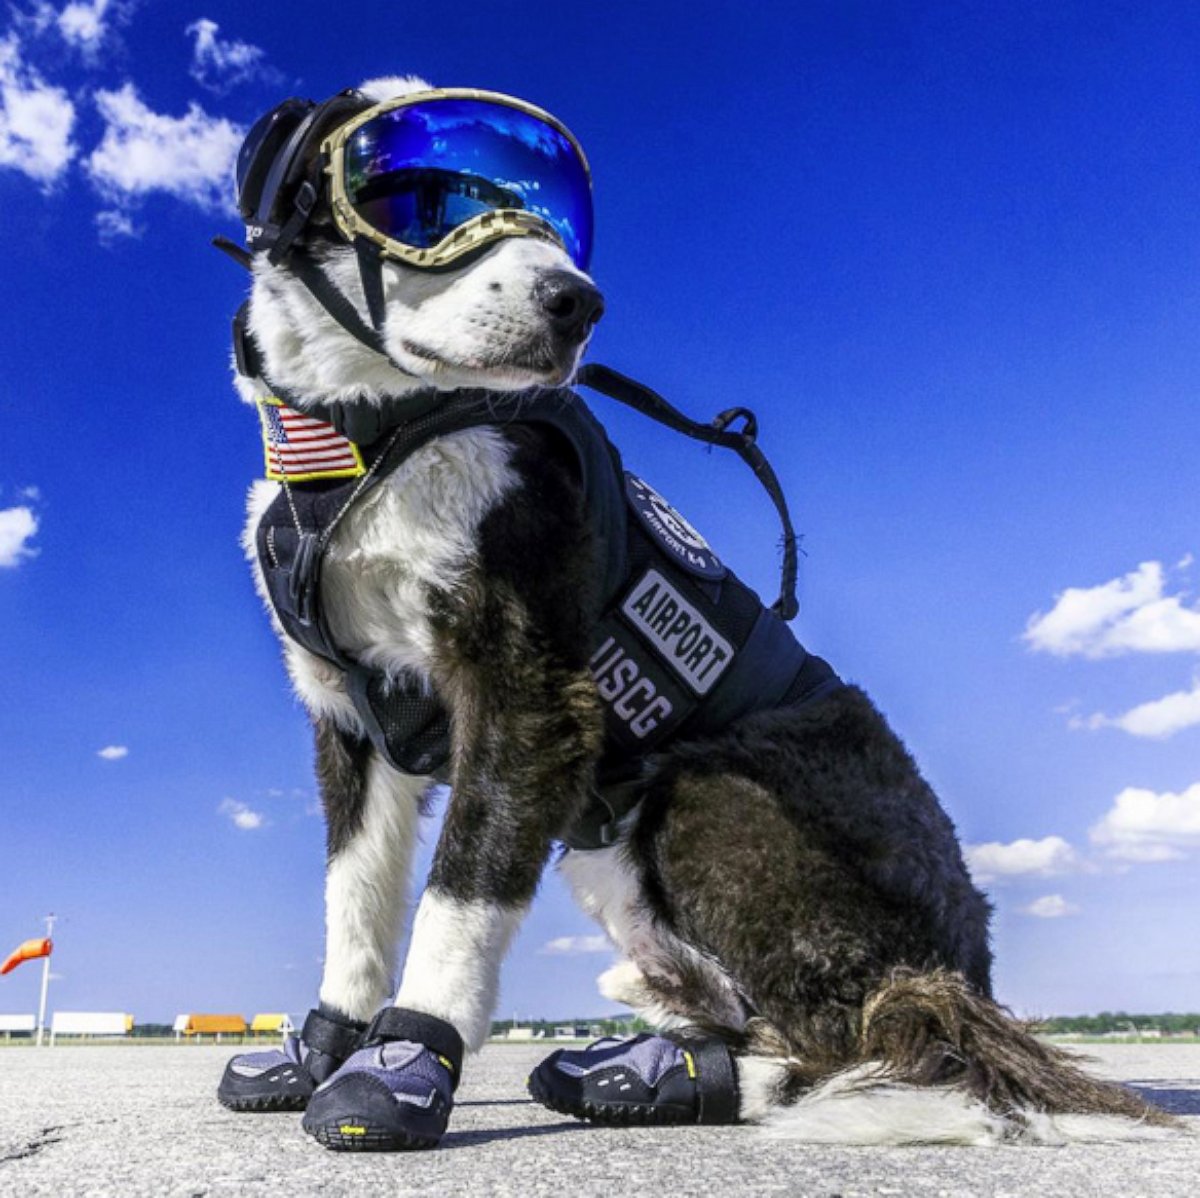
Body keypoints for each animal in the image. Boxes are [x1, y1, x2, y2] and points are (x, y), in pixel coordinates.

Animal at [216, 77, 1171, 1152]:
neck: (370, 442)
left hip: (704, 798)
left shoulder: (530, 702)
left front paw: (403, 1063)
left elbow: (458, 894)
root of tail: (969, 975)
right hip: (610, 848)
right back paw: (646, 1069)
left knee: (872, 1042)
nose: (577, 301)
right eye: (422, 201)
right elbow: (357, 898)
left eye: (558, 218)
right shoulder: (354, 718)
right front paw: (321, 1049)